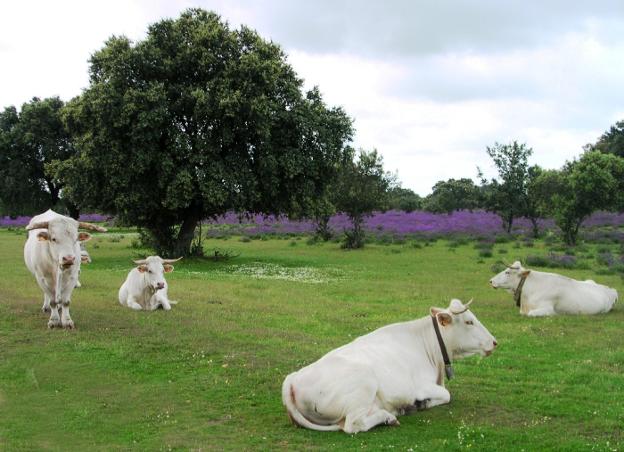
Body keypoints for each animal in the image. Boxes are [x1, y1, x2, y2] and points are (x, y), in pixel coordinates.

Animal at [282, 298, 498, 432]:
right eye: (469, 322)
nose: (495, 342)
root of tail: (293, 378)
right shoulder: (420, 387)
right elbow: (447, 395)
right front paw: (422, 403)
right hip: (364, 383)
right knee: (353, 425)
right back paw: (389, 417)